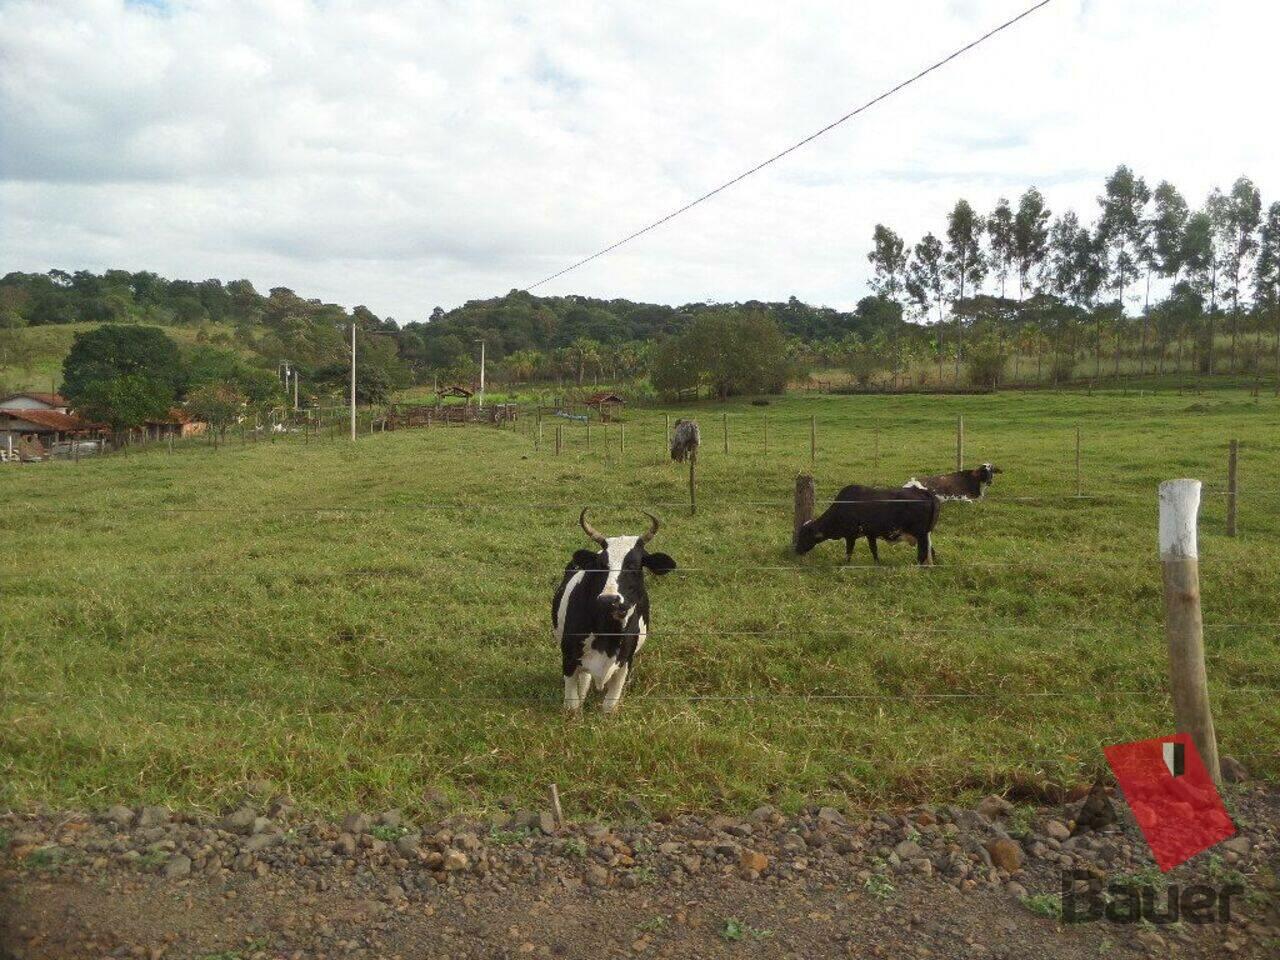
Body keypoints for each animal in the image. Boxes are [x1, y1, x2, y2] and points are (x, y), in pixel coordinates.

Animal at [552, 512, 680, 716]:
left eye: (633, 565)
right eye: (601, 564)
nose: (609, 599)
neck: (608, 632)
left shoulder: (625, 662)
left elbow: (609, 706)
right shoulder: (569, 658)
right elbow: (572, 705)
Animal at [793, 483, 947, 568]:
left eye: (804, 536)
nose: (796, 550)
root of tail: (924, 492)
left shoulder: (850, 535)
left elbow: (849, 551)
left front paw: (846, 564)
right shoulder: (870, 534)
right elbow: (874, 550)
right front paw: (877, 564)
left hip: (920, 535)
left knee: (922, 553)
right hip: (926, 535)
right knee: (931, 552)